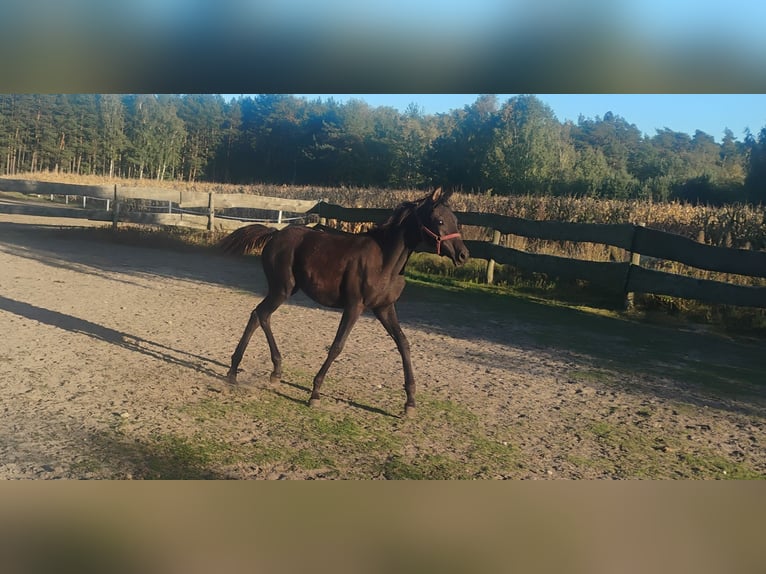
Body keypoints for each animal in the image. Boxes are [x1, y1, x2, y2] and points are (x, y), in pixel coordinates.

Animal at [218, 190, 468, 418]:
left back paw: (255, 372)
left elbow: (403, 344)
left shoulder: (384, 308)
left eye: (456, 220)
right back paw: (246, 371)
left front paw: (410, 403)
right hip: (282, 289)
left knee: (259, 315)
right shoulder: (355, 306)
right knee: (260, 314)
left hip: (282, 291)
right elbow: (337, 345)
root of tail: (275, 234)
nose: (463, 254)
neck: (385, 262)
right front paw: (315, 394)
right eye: (439, 221)